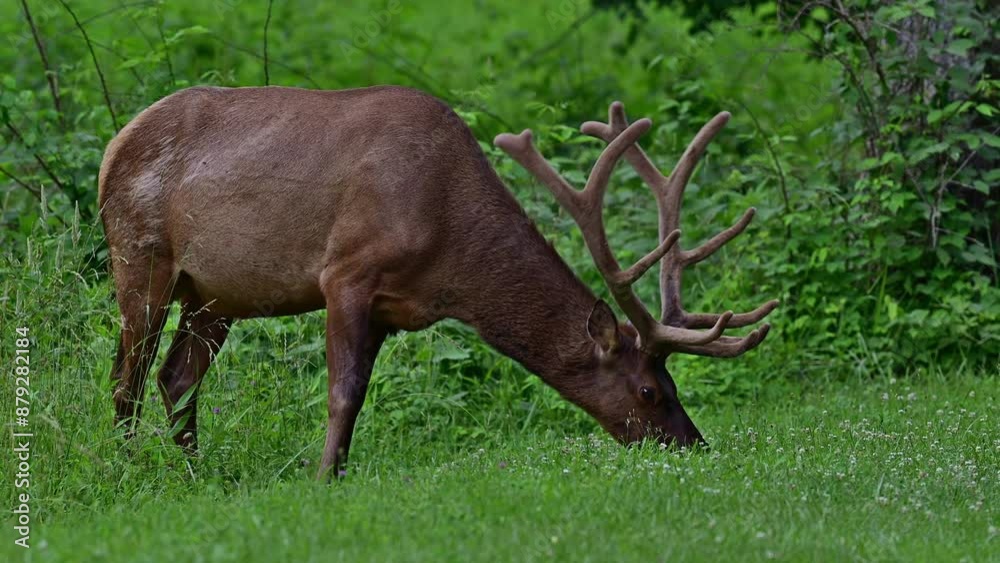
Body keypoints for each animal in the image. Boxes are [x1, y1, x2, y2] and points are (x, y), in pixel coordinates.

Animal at [99, 85, 777, 479]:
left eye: (672, 385)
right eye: (647, 390)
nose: (694, 446)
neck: (449, 251)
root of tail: (114, 143)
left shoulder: (391, 308)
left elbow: (358, 396)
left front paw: (337, 473)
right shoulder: (346, 271)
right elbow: (342, 392)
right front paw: (322, 481)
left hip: (216, 292)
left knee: (176, 377)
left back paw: (197, 474)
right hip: (139, 252)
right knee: (126, 376)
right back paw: (127, 467)